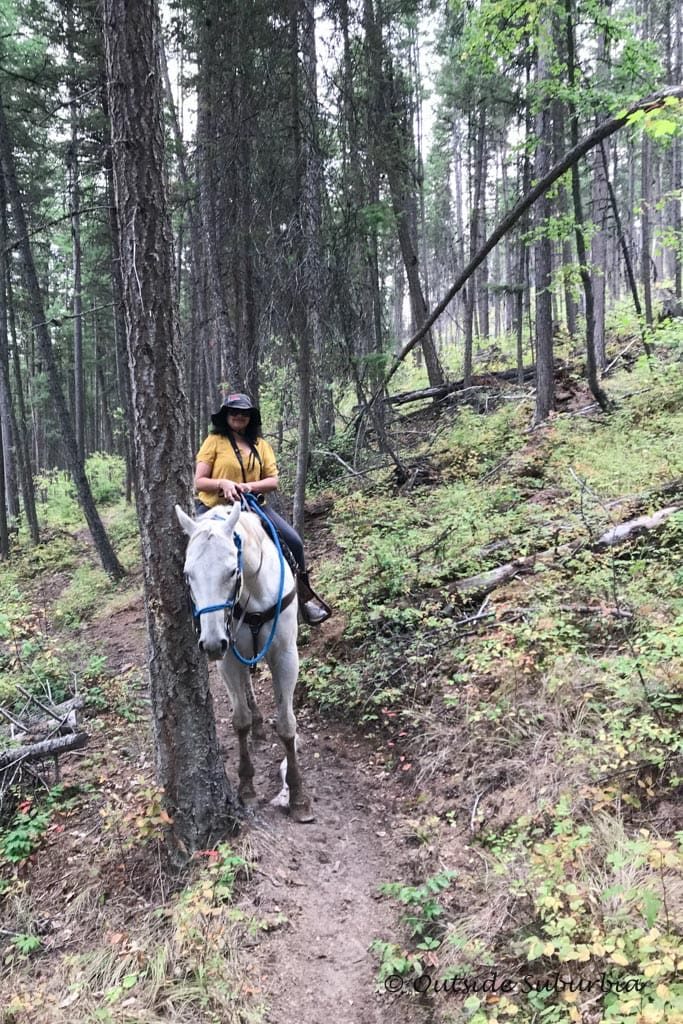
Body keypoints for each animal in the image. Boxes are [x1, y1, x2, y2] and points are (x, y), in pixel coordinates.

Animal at [176, 503, 315, 823]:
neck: (254, 589)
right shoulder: (228, 659)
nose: (211, 643)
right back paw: (258, 723)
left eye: (232, 571)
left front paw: (299, 797)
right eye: (188, 574)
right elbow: (239, 720)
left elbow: (287, 724)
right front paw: (247, 786)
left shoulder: (286, 656)